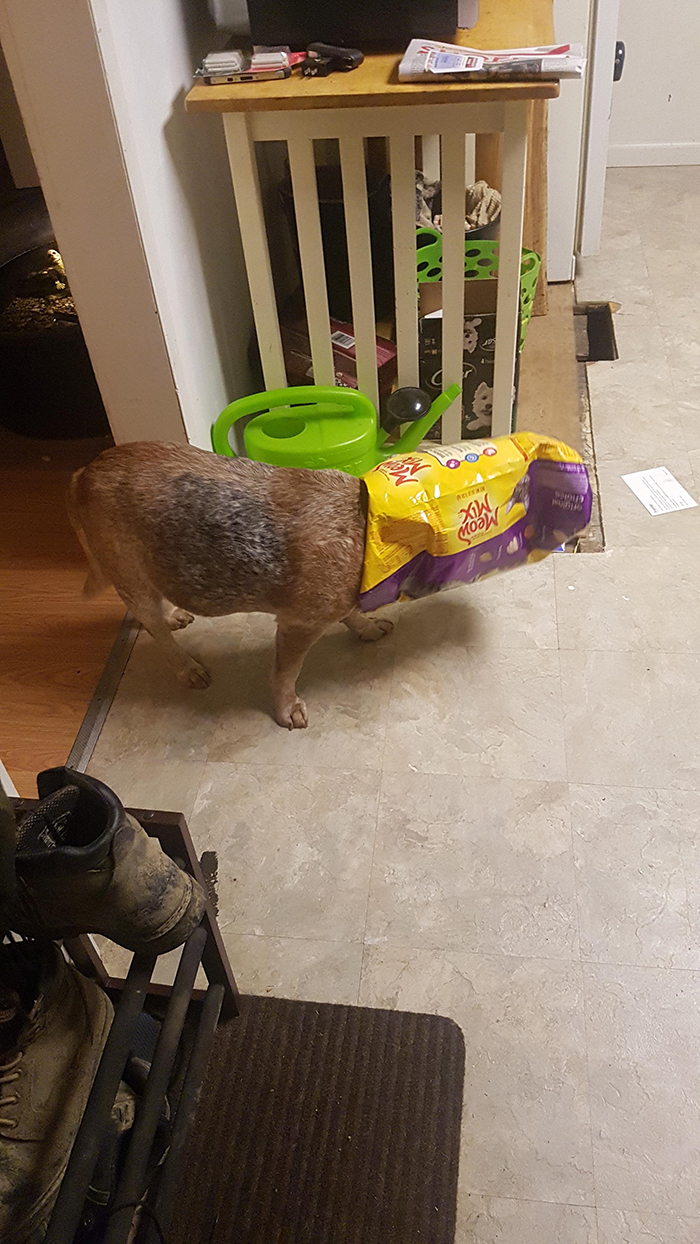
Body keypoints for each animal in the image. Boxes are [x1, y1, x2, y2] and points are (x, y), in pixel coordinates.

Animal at [67, 445, 395, 726]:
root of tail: (83, 473)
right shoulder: (299, 623)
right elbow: (286, 673)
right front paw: (288, 710)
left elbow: (352, 614)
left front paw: (369, 628)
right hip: (129, 573)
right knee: (156, 630)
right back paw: (189, 669)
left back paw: (173, 615)